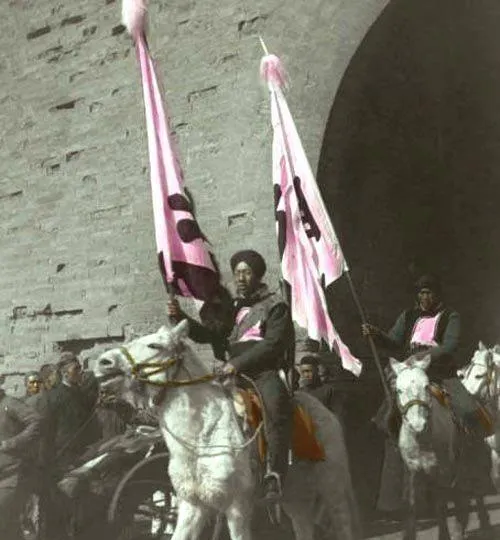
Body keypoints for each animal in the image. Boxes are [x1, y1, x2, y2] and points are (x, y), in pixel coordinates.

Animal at [92, 319, 361, 540]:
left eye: (154, 345)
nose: (103, 362)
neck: (201, 436)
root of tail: (324, 411)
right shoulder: (192, 506)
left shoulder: (237, 507)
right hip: (295, 496)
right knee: (303, 526)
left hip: (333, 490)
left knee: (344, 526)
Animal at [390, 354, 471, 540]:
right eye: (398, 390)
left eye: (426, 386)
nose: (417, 425)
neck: (422, 441)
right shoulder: (412, 470)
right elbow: (411, 506)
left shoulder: (442, 470)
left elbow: (441, 504)